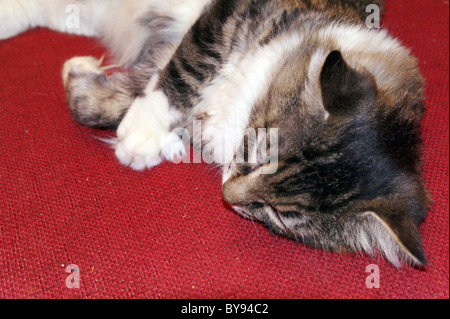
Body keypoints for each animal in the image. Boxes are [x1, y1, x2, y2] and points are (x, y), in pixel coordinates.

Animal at [0, 0, 428, 268]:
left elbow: (110, 100)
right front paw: (141, 129)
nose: (227, 197)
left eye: (282, 215)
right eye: (261, 149)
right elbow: (184, 70)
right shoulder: (223, 18)